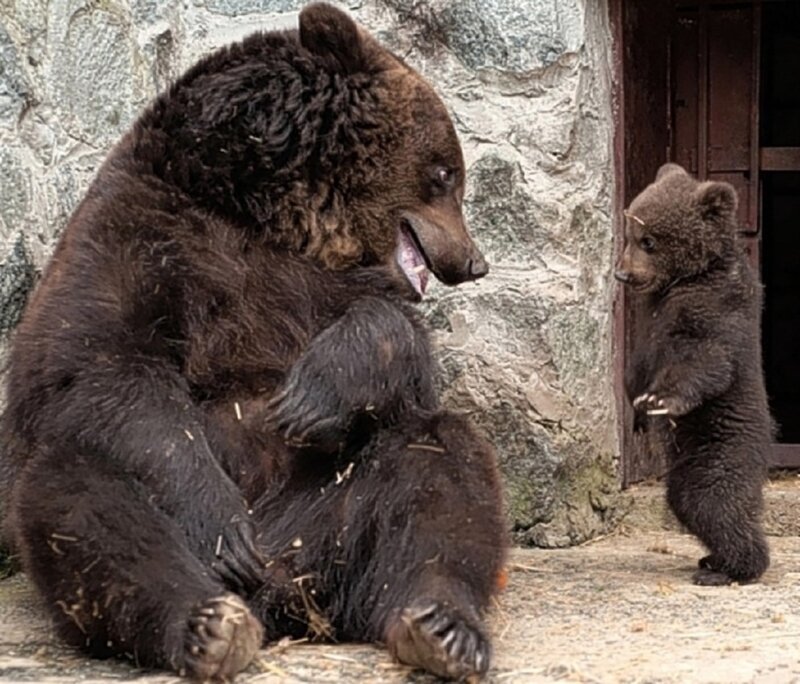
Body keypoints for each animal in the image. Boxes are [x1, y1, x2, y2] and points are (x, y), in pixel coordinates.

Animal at [0, 4, 508, 681]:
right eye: (446, 172)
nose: (474, 262)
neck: (270, 213)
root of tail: (286, 587)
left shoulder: (321, 288)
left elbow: (400, 351)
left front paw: (311, 398)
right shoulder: (135, 234)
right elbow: (98, 367)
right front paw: (221, 527)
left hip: (329, 508)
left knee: (440, 464)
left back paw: (441, 626)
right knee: (78, 494)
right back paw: (211, 621)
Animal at [616, 162, 771, 586]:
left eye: (649, 240)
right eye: (629, 234)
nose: (623, 274)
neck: (690, 276)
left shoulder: (714, 310)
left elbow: (705, 360)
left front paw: (658, 400)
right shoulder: (650, 321)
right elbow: (637, 365)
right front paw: (637, 410)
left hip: (720, 449)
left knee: (715, 503)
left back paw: (736, 569)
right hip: (686, 462)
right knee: (686, 502)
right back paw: (712, 559)